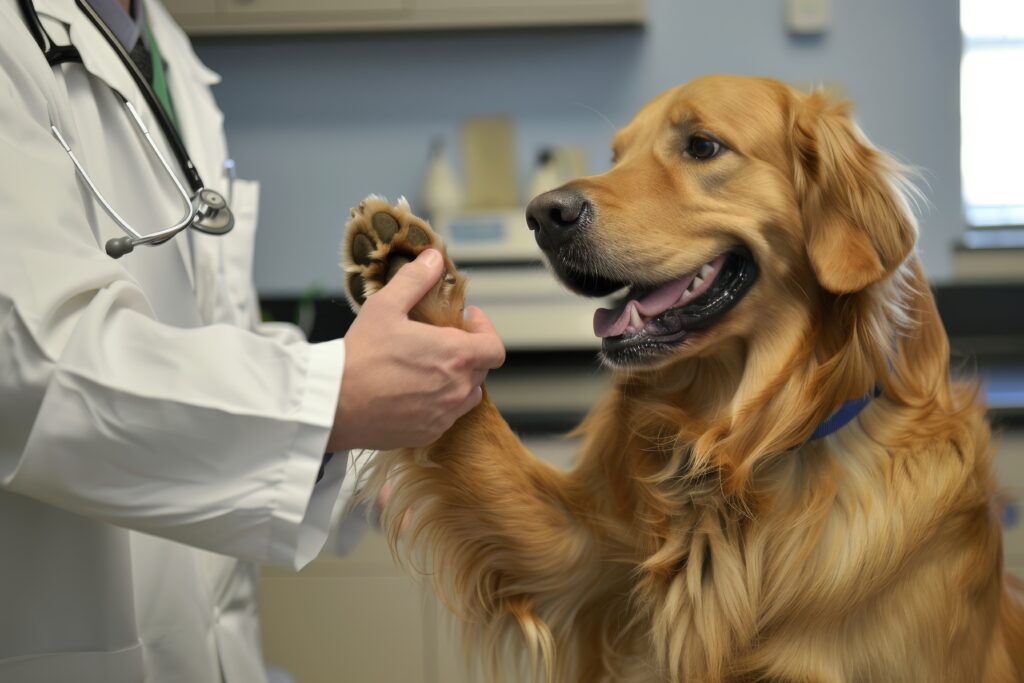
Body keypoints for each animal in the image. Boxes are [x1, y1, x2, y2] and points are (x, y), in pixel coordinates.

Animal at [344, 76, 1024, 683]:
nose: (543, 214)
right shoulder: (576, 562)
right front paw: (415, 283)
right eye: (617, 157)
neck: (738, 448)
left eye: (701, 146)